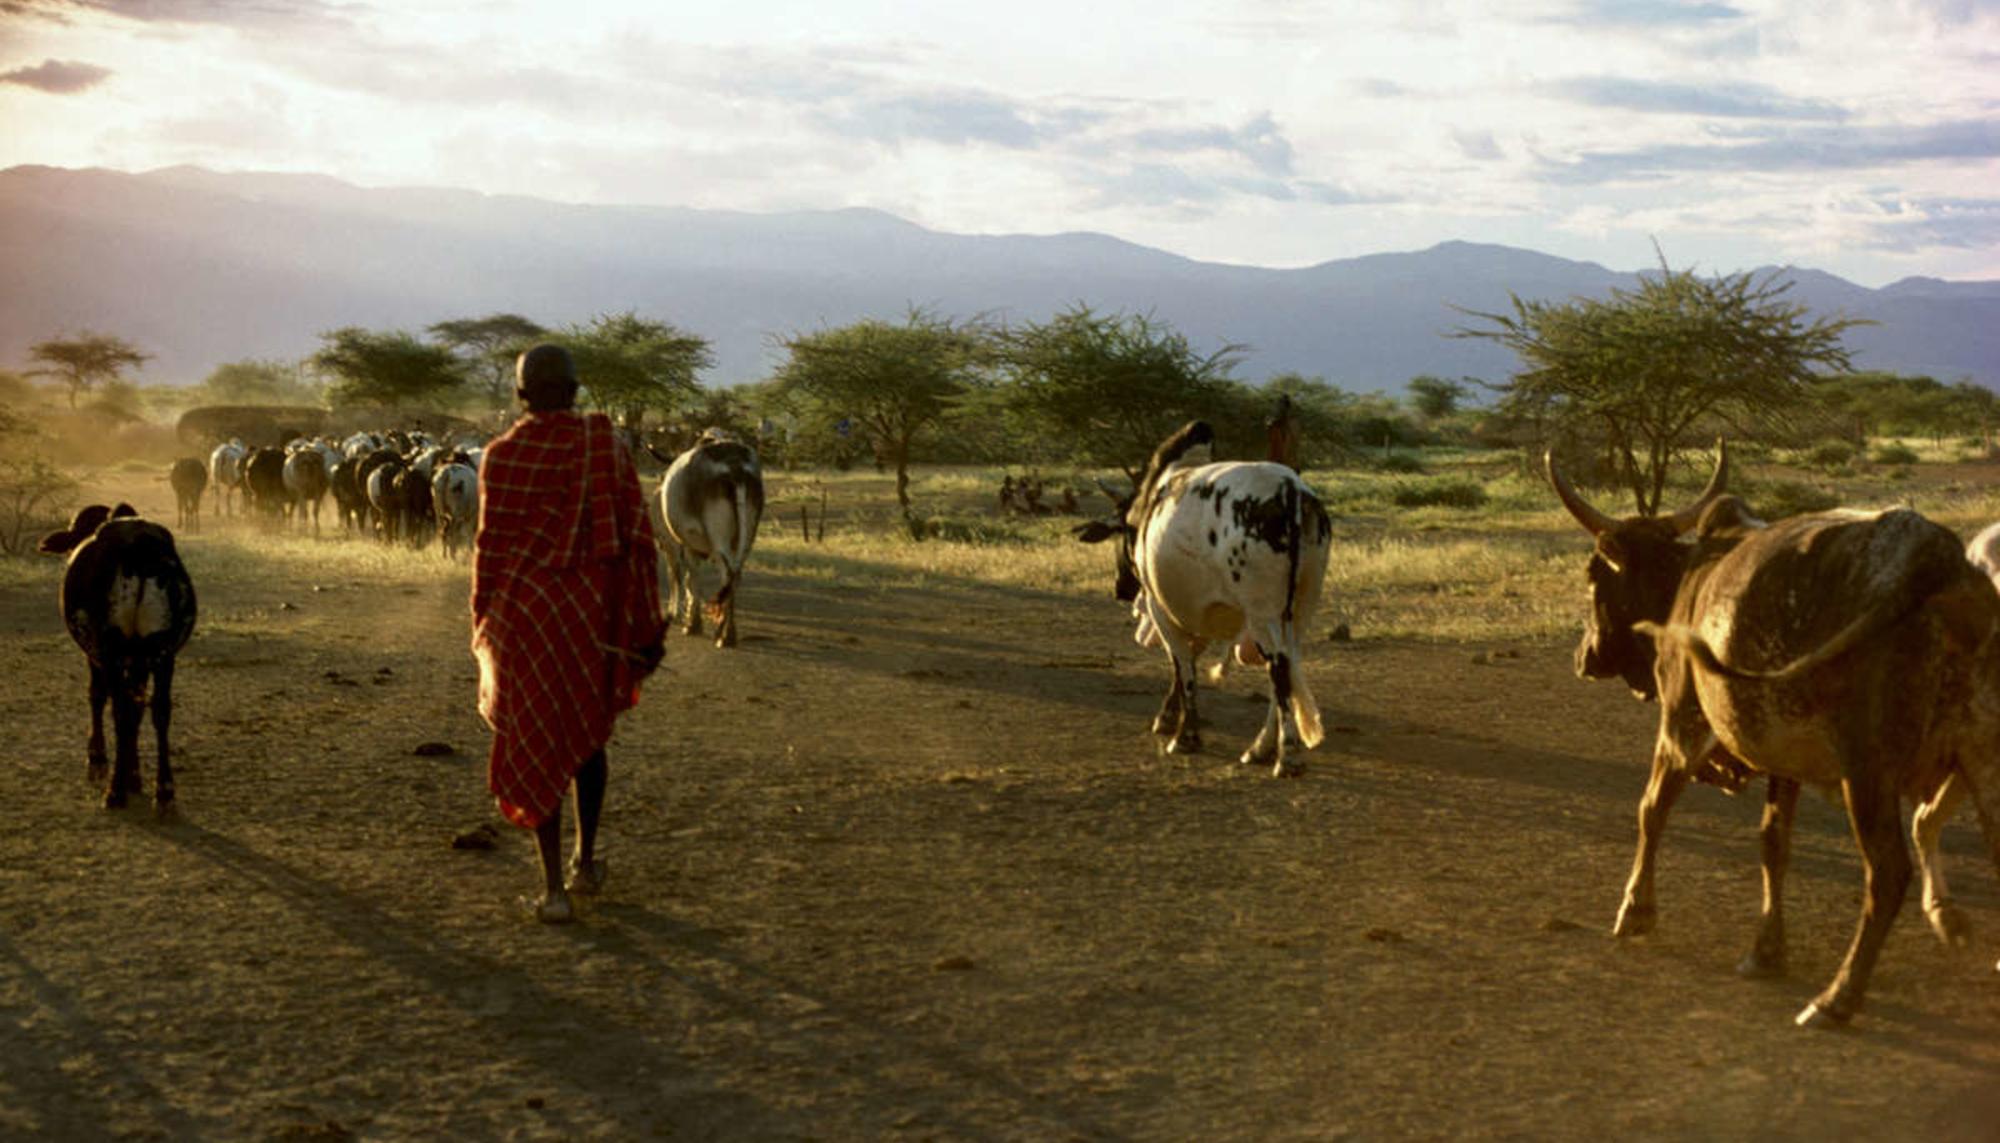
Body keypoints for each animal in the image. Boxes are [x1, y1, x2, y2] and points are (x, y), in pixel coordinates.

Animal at [1080, 419, 1328, 775]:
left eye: (1123, 530)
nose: (1120, 588)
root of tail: (1291, 492)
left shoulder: (1161, 607)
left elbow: (1183, 667)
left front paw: (1184, 735)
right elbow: (1187, 662)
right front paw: (1170, 720)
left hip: (1262, 611)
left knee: (1279, 669)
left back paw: (1286, 756)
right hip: (1299, 609)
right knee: (1287, 668)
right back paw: (1261, 747)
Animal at [1544, 443, 2000, 1023]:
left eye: (1593, 576)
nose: (1583, 657)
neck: (1690, 577)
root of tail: (1935, 558)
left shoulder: (1681, 726)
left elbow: (1651, 809)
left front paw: (1635, 911)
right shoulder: (1784, 759)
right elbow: (1772, 842)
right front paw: (1765, 950)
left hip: (1868, 770)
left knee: (1888, 873)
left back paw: (1837, 998)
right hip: (1983, 760)